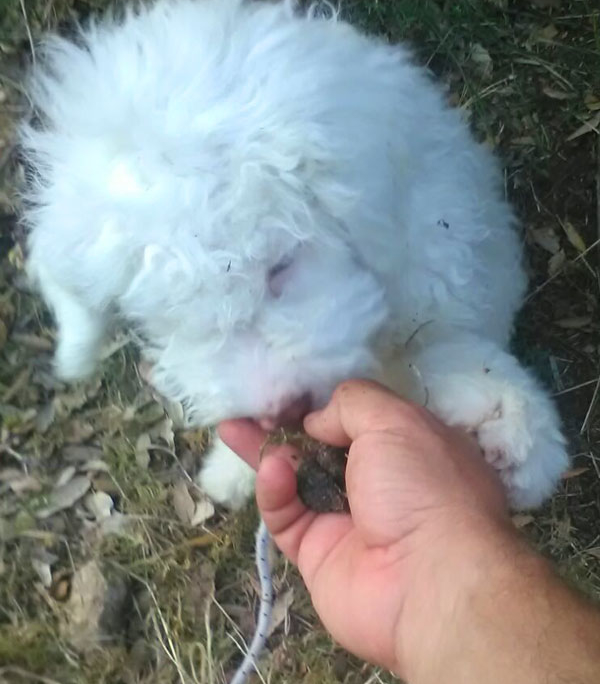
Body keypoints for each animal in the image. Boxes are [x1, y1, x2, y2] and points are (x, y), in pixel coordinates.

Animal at [21, 0, 568, 510]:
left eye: (280, 266)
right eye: (174, 322)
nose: (277, 413)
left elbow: (448, 357)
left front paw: (513, 435)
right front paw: (229, 474)